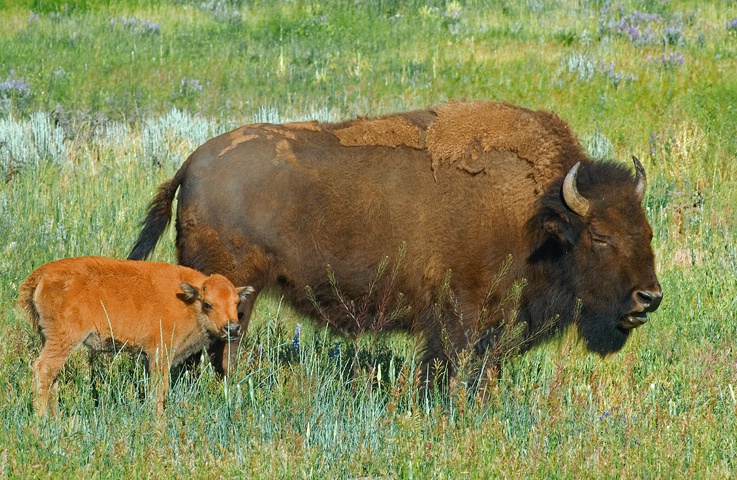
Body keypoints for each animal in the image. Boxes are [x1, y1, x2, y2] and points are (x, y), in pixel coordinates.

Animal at [18, 256, 253, 414]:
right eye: (208, 304)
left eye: (235, 303)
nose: (232, 328)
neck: (187, 301)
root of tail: (41, 275)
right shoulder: (160, 353)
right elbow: (159, 389)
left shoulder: (149, 358)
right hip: (65, 339)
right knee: (43, 368)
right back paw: (41, 421)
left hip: (49, 338)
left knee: (52, 376)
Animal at [129, 101, 664, 382]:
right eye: (600, 236)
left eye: (647, 230)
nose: (650, 298)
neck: (537, 215)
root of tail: (192, 163)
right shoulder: (461, 315)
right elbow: (452, 366)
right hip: (235, 291)